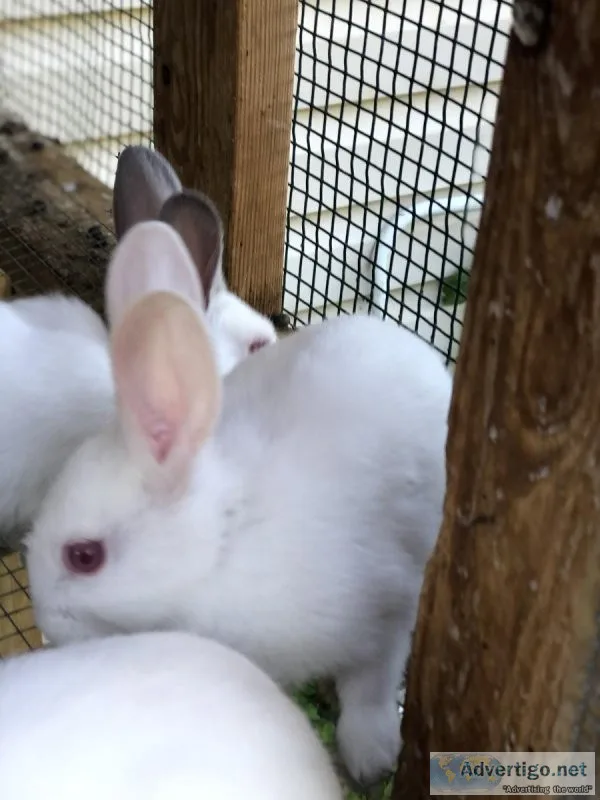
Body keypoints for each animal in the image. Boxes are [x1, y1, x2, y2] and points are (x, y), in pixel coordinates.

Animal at [25, 217, 453, 788]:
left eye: (84, 556)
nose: (46, 619)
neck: (224, 541)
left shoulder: (387, 609)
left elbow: (371, 685)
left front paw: (372, 756)